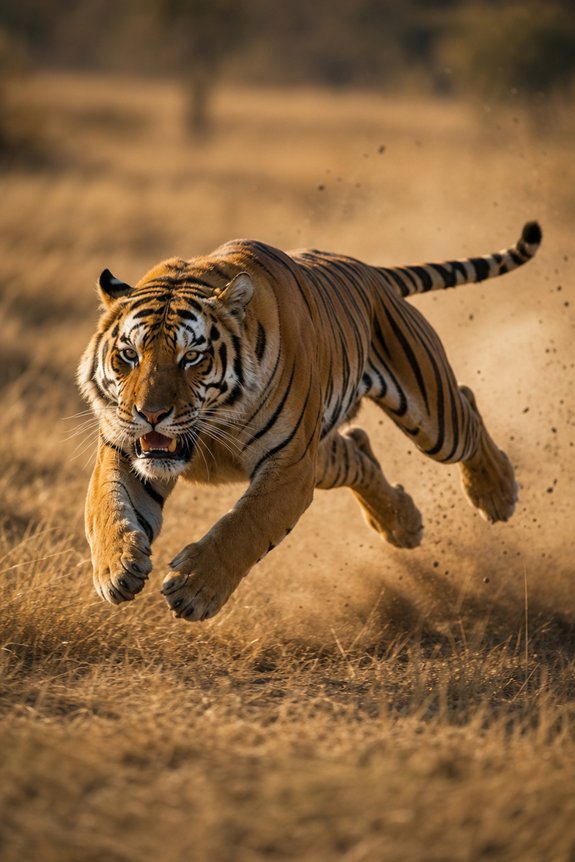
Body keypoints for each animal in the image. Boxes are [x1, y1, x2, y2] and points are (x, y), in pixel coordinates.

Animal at [78, 221, 542, 622]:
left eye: (191, 356)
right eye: (129, 355)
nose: (151, 414)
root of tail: (370, 271)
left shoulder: (290, 468)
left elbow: (245, 525)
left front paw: (194, 588)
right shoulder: (124, 446)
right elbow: (106, 504)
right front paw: (116, 570)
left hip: (431, 420)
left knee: (466, 410)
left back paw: (496, 494)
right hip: (324, 452)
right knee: (359, 449)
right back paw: (403, 525)